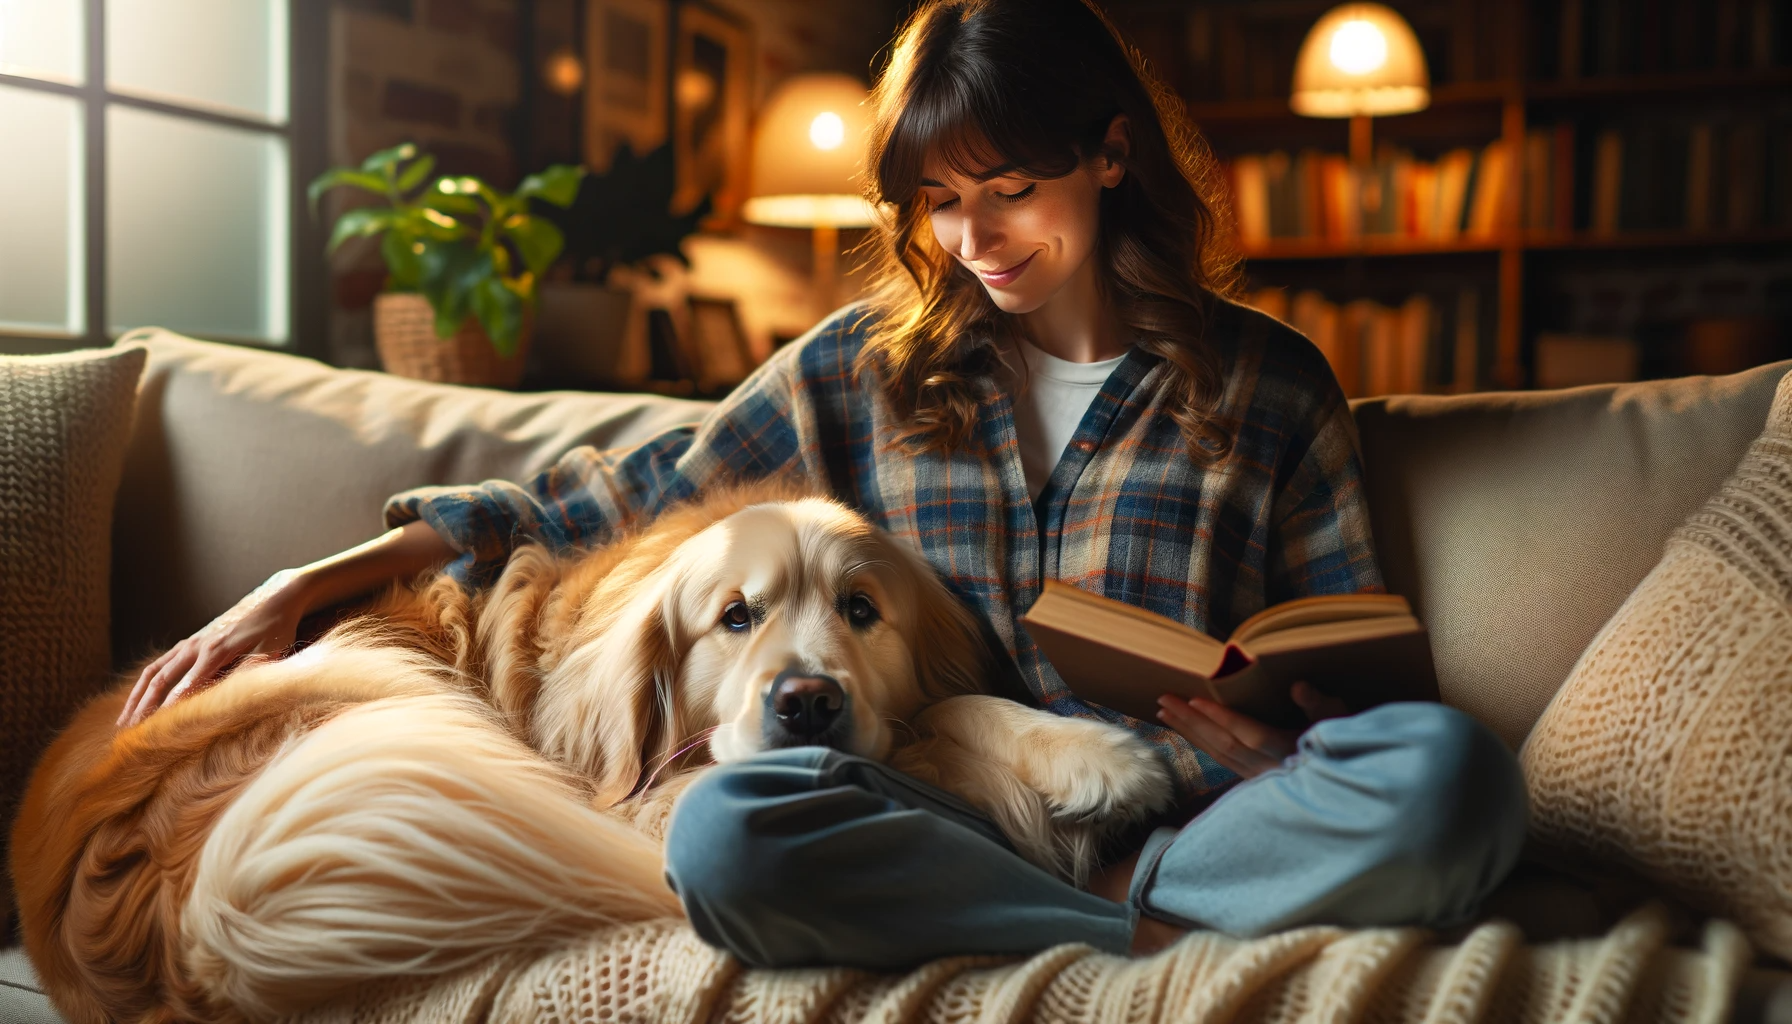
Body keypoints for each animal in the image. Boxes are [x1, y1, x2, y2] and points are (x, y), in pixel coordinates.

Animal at [14, 484, 1175, 1024]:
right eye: (734, 617)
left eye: (861, 612)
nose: (806, 702)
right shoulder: (632, 787)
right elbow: (931, 731)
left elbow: (955, 707)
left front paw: (1097, 756)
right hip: (362, 684)